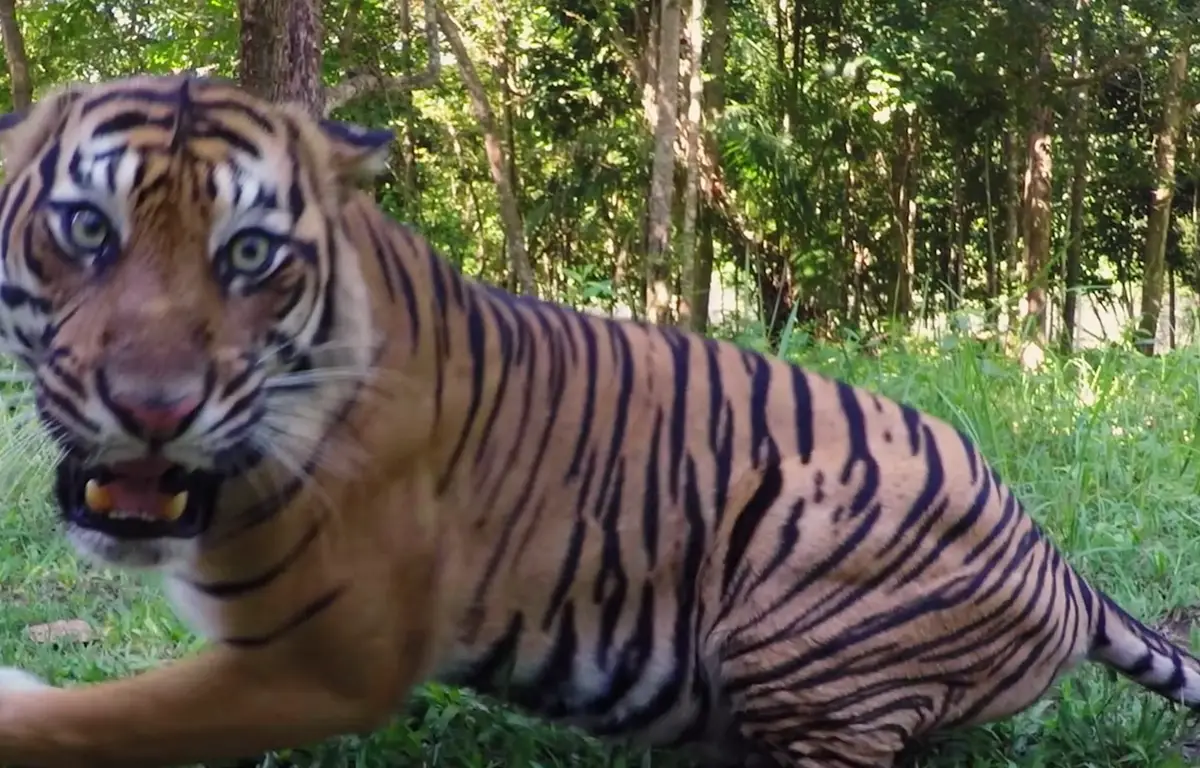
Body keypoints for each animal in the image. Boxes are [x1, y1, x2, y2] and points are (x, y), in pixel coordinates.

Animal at [0, 73, 1195, 768]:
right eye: (87, 229)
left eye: (249, 254)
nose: (154, 407)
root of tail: (1055, 558)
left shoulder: (325, 659)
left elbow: (98, 717)